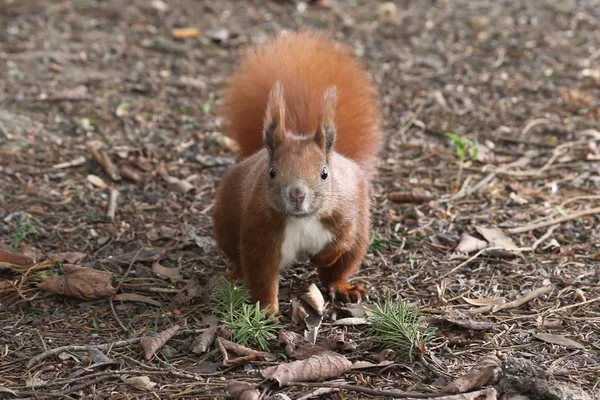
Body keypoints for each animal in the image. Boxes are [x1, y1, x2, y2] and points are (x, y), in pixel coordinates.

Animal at [211, 29, 382, 314]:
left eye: (324, 173)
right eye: (271, 172)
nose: (297, 194)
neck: (302, 219)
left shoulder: (344, 214)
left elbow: (342, 240)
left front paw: (321, 257)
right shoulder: (261, 235)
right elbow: (261, 276)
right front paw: (267, 311)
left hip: (360, 236)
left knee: (338, 268)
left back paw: (343, 287)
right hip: (226, 223)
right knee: (237, 258)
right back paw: (235, 275)